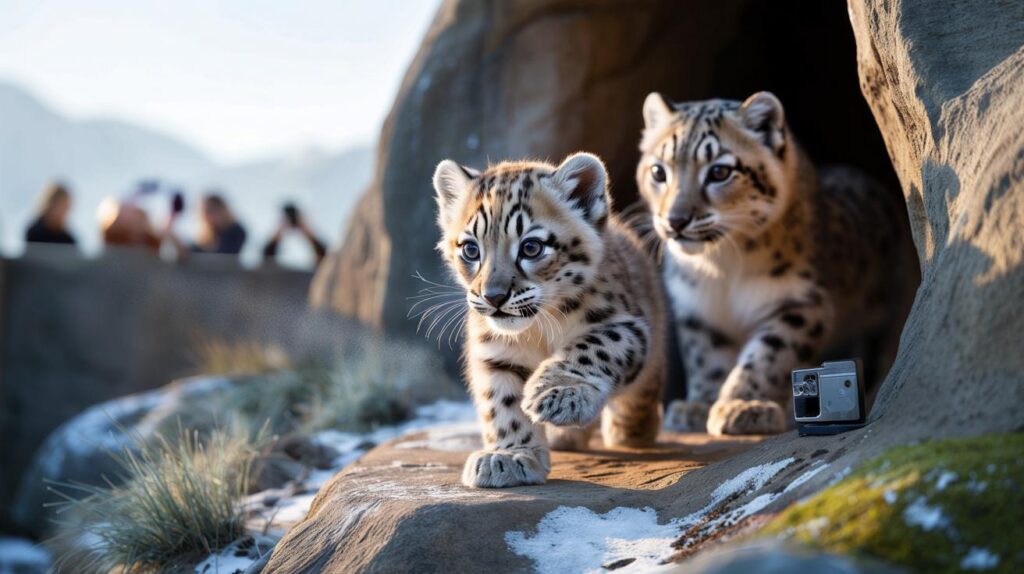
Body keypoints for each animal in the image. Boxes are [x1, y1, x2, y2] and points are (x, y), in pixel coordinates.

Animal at [432, 152, 666, 488]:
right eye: (471, 249)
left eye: (531, 247)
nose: (493, 296)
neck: (539, 329)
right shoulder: (495, 352)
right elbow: (502, 401)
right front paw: (509, 456)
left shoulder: (623, 325)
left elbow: (591, 347)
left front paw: (555, 393)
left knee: (639, 400)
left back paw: (629, 432)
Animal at [635, 91, 918, 436]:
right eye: (658, 171)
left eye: (719, 172)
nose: (675, 220)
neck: (720, 269)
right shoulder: (698, 312)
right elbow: (707, 358)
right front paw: (699, 407)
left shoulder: (799, 303)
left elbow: (766, 356)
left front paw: (742, 406)